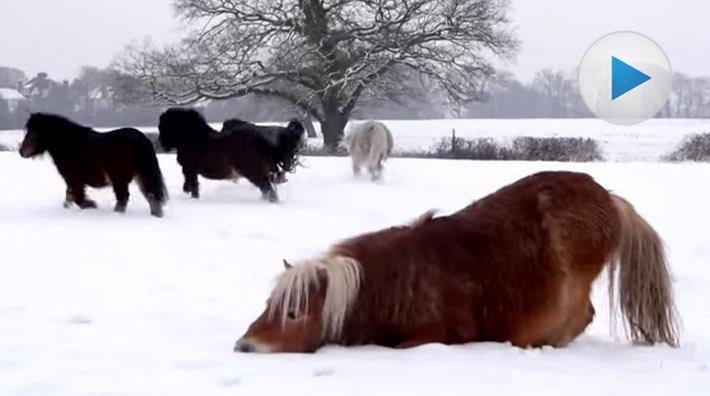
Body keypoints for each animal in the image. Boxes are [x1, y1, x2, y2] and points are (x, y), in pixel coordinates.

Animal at [19, 113, 168, 218]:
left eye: (33, 132)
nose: (21, 152)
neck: (69, 145)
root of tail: (140, 139)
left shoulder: (74, 179)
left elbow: (78, 198)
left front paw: (92, 206)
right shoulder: (71, 180)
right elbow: (69, 199)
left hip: (119, 178)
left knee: (124, 198)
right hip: (141, 176)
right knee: (151, 196)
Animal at [160, 107, 304, 203]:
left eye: (163, 126)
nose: (161, 144)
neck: (193, 137)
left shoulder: (189, 169)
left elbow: (193, 186)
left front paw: (193, 198)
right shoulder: (189, 170)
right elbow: (189, 184)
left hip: (254, 173)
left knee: (269, 190)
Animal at [236, 171, 680, 352]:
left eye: (293, 313)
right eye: (268, 306)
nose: (245, 346)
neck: (397, 281)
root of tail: (609, 197)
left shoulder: (442, 335)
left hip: (572, 283)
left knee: (580, 315)